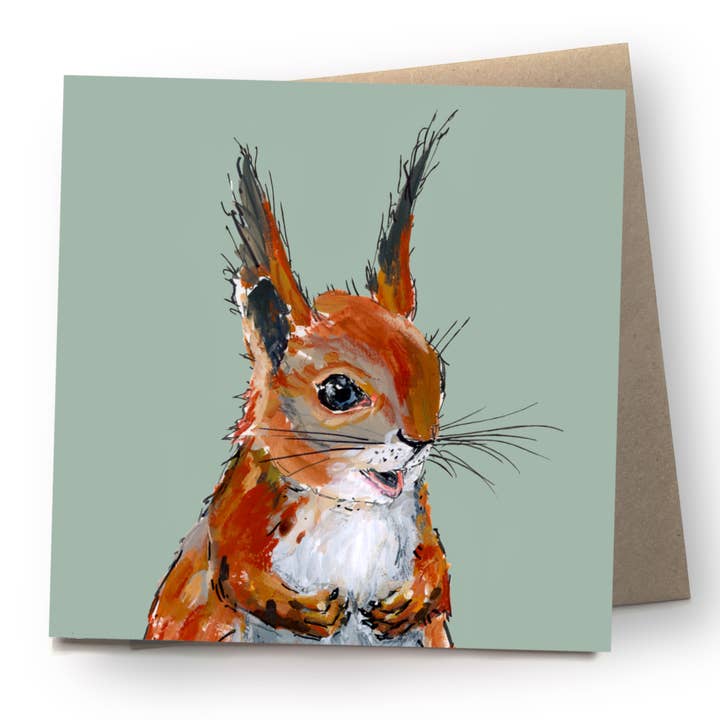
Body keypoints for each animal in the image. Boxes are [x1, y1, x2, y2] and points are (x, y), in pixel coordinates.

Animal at [145, 113, 456, 647]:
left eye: (438, 375)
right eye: (338, 392)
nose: (420, 441)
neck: (349, 506)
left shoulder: (418, 512)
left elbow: (438, 569)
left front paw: (412, 598)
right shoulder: (238, 508)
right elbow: (234, 571)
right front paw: (303, 610)